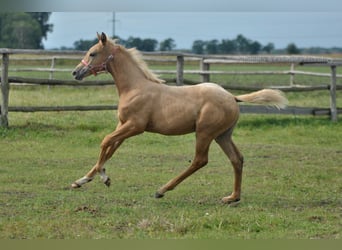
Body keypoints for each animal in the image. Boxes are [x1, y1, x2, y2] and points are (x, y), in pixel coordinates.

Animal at [72, 32, 288, 204]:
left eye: (92, 53)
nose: (75, 72)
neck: (135, 88)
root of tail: (233, 98)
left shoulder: (135, 126)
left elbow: (105, 141)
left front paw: (103, 178)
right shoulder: (123, 125)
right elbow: (110, 149)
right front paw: (80, 181)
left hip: (205, 133)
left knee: (200, 160)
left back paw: (162, 190)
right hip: (223, 135)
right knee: (237, 159)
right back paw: (232, 197)